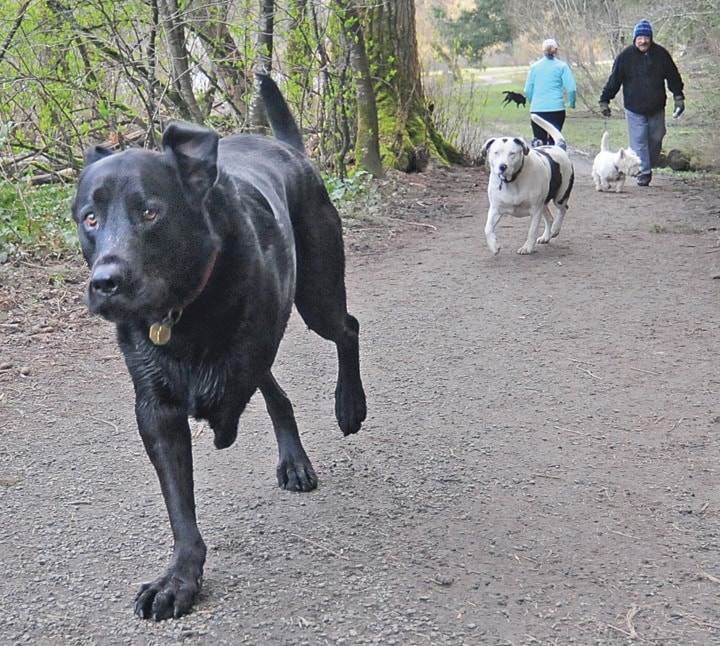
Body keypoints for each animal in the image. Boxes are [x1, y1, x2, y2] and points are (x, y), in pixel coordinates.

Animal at [70, 76, 366, 624]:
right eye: (91, 219)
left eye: (150, 211)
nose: (105, 282)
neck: (183, 310)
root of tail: (290, 151)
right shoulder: (155, 410)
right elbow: (179, 505)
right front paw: (179, 579)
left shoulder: (249, 343)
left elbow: (228, 388)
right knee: (275, 391)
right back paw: (293, 460)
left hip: (317, 296)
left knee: (347, 329)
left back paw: (349, 405)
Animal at [480, 114, 576, 256]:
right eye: (496, 152)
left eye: (512, 153)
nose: (503, 166)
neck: (513, 181)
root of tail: (558, 147)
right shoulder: (496, 209)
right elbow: (487, 228)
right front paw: (494, 246)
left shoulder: (535, 210)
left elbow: (532, 231)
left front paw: (527, 247)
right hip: (543, 203)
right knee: (549, 218)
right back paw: (546, 236)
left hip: (560, 196)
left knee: (563, 209)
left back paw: (555, 229)